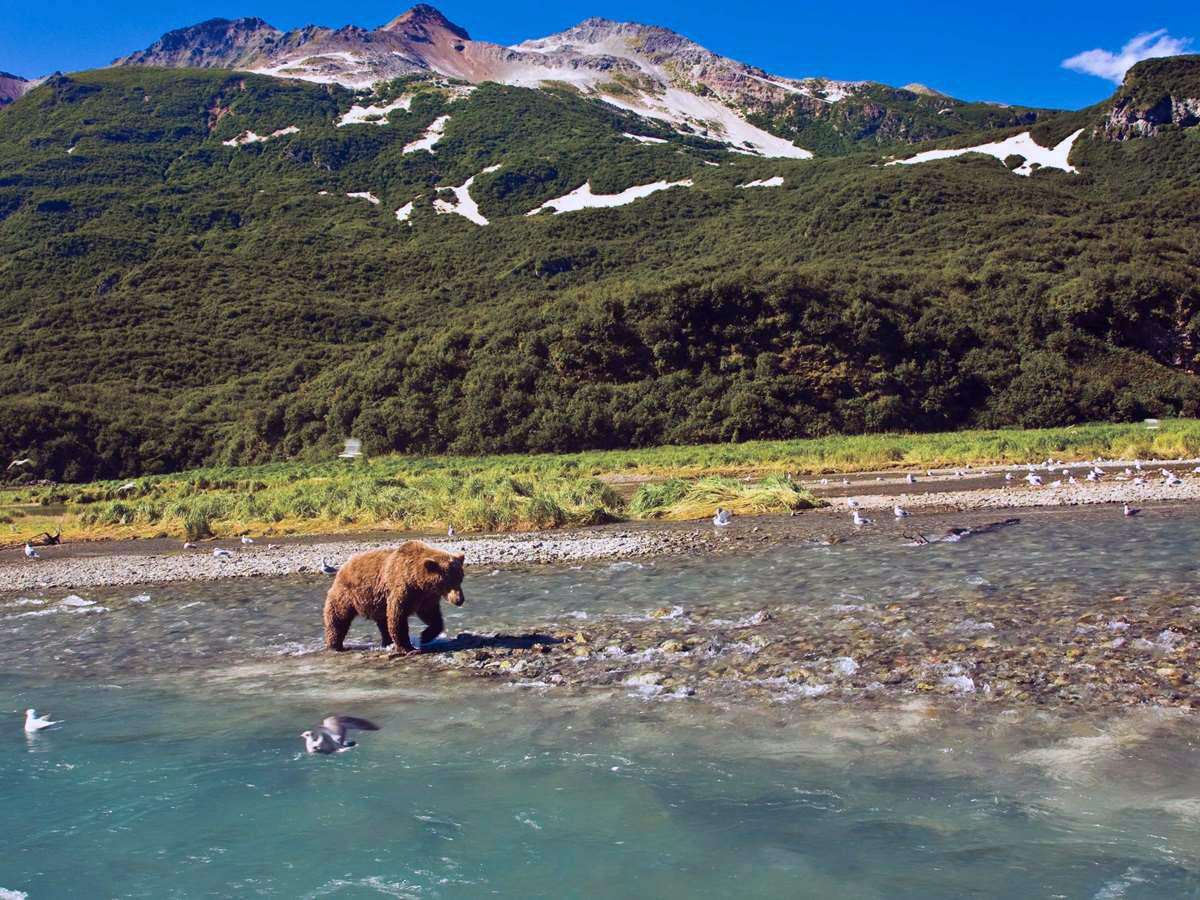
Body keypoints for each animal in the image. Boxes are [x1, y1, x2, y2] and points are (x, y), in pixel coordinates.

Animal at [324, 542, 463, 657]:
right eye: (448, 582)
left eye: (460, 579)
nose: (459, 599)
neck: (419, 581)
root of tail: (342, 568)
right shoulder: (403, 588)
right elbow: (397, 616)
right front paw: (409, 648)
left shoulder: (425, 597)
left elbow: (432, 616)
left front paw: (425, 636)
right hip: (347, 594)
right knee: (338, 618)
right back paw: (336, 645)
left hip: (377, 604)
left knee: (383, 622)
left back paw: (386, 642)